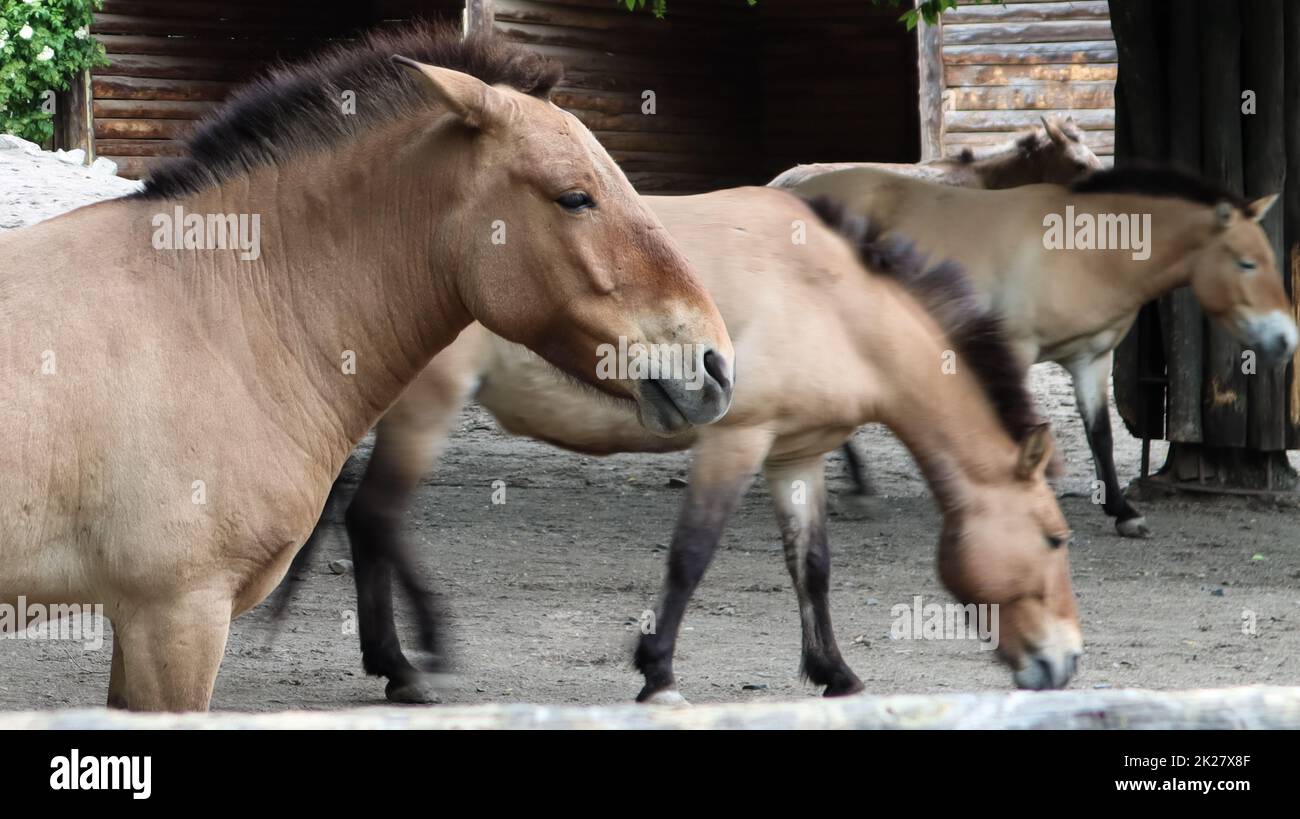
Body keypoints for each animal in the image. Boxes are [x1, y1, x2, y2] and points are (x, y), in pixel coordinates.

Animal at [284, 188, 1083, 705]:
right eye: (1053, 537)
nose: (1066, 663)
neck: (832, 301)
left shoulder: (797, 456)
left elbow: (812, 567)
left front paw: (835, 673)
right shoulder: (736, 441)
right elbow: (691, 556)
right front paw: (658, 672)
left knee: (361, 520)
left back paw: (396, 659)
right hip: (423, 414)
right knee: (376, 519)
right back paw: (411, 664)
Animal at [789, 163, 1296, 538]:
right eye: (1246, 263)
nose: (1286, 340)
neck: (1087, 251)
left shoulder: (1090, 361)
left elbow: (1100, 435)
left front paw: (1123, 511)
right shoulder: (1015, 348)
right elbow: (1018, 424)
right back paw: (858, 486)